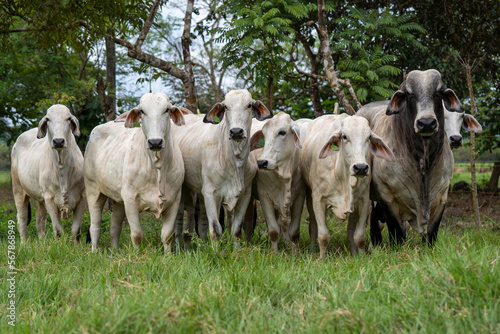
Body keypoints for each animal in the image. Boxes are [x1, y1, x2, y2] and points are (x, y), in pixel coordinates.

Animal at [11, 105, 85, 243]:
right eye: (48, 119)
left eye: (68, 118)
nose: (58, 141)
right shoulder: (49, 198)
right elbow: (58, 231)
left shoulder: (82, 197)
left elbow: (75, 230)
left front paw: (77, 247)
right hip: (18, 189)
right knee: (22, 220)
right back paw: (24, 244)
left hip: (41, 198)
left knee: (40, 218)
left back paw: (42, 242)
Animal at [84, 92, 186, 252]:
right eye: (142, 111)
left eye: (167, 110)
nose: (155, 142)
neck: (157, 168)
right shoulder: (130, 198)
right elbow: (137, 234)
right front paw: (137, 254)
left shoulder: (175, 199)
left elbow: (167, 234)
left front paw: (168, 255)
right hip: (93, 190)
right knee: (95, 226)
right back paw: (94, 251)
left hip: (118, 199)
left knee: (114, 226)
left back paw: (115, 251)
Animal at [300, 113, 394, 258]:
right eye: (344, 136)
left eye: (368, 137)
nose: (360, 168)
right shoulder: (318, 200)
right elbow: (323, 236)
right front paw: (321, 258)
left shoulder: (363, 201)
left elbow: (359, 237)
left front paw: (361, 256)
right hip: (310, 197)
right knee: (313, 227)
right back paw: (313, 250)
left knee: (350, 232)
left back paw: (354, 253)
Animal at [358, 69, 462, 245]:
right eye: (410, 95)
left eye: (437, 93)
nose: (426, 123)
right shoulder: (388, 197)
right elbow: (397, 234)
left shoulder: (441, 197)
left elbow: (431, 235)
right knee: (374, 219)